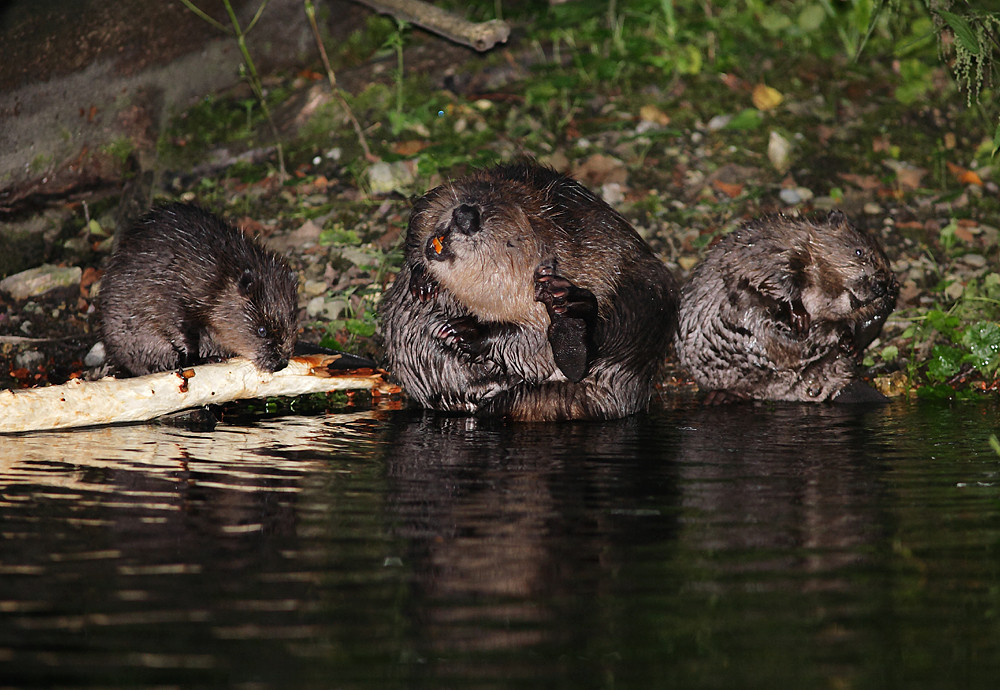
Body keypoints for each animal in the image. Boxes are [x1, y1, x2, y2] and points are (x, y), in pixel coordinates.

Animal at [99, 202, 298, 376]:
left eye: (293, 323)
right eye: (262, 330)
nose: (280, 364)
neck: (219, 273)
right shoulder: (174, 293)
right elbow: (180, 329)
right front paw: (201, 359)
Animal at [378, 160, 684, 420]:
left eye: (511, 241)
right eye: (479, 196)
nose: (466, 217)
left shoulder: (585, 270)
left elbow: (532, 342)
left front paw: (464, 331)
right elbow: (423, 209)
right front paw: (423, 282)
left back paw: (569, 318)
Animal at [672, 211, 900, 404]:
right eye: (859, 251)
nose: (881, 285)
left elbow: (842, 323)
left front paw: (850, 340)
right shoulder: (772, 249)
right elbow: (776, 277)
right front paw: (798, 316)